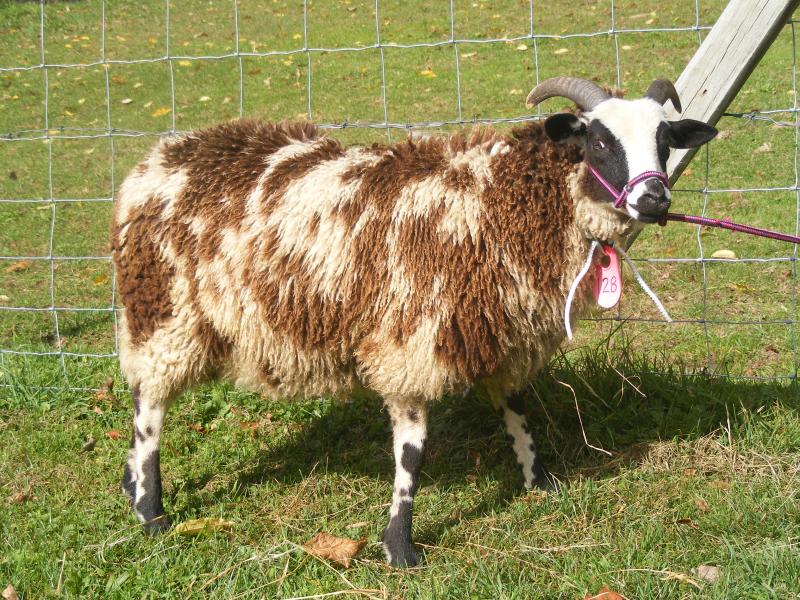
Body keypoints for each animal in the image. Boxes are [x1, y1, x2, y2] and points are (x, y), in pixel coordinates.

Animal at [111, 76, 717, 567]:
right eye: (599, 141)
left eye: (666, 141)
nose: (654, 199)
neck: (497, 201)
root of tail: (156, 161)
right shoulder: (410, 340)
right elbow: (412, 451)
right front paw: (399, 544)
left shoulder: (498, 333)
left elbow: (517, 413)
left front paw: (540, 483)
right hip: (163, 312)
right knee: (149, 407)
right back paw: (150, 509)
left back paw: (130, 482)